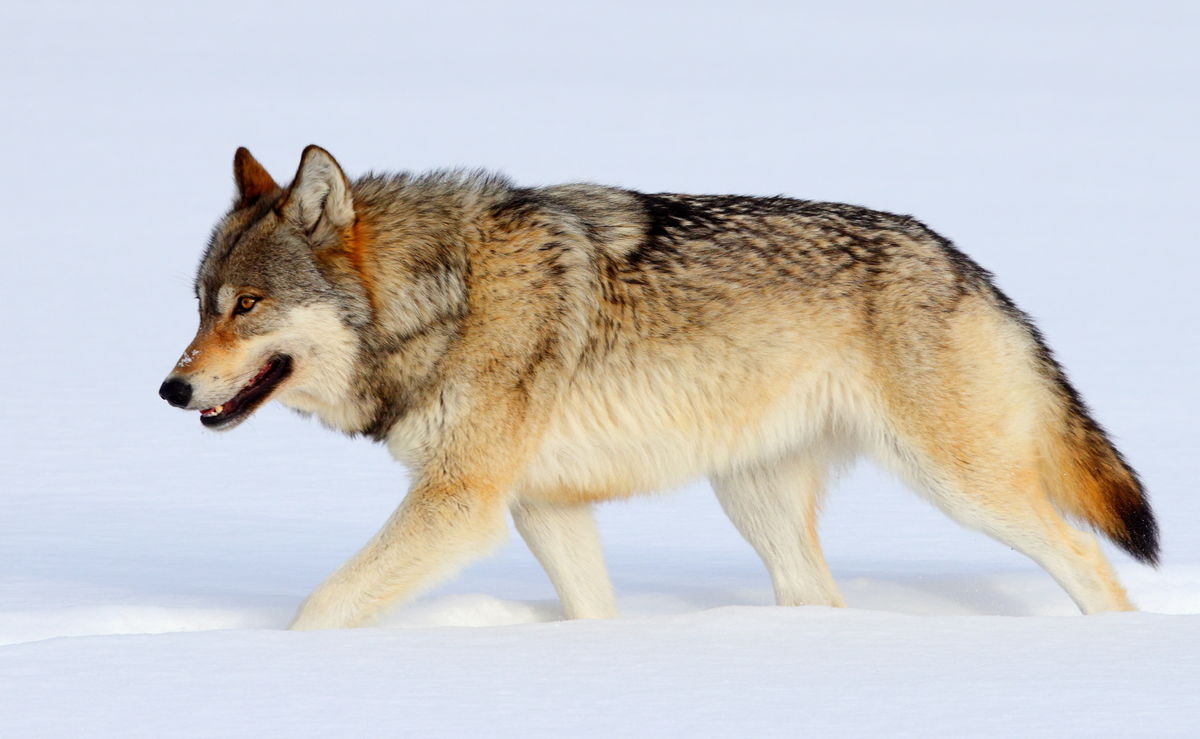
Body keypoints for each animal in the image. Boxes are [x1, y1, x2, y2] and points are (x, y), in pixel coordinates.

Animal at [157, 145, 1152, 628]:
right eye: (200, 304)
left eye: (248, 305)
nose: (170, 388)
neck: (450, 294)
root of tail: (966, 262)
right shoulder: (544, 507)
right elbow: (591, 612)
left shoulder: (458, 505)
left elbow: (321, 606)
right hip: (755, 499)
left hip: (959, 486)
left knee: (1092, 565)